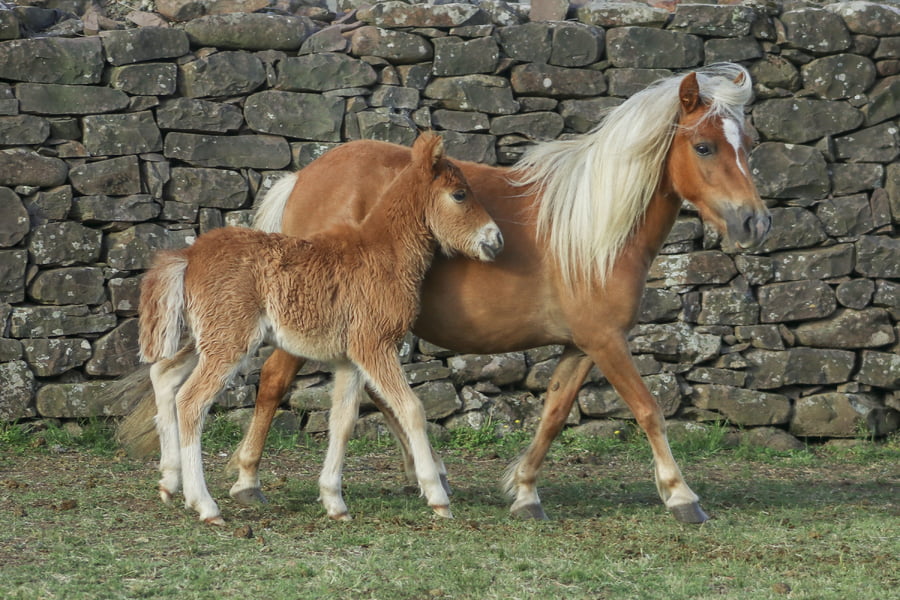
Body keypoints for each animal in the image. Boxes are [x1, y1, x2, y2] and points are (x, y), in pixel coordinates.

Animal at [135, 132, 503, 524]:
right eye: (460, 194)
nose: (496, 239)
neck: (384, 252)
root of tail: (188, 256)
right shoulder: (375, 344)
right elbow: (412, 408)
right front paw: (437, 496)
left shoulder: (350, 358)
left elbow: (343, 420)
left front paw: (334, 501)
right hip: (230, 341)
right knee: (191, 401)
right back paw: (205, 505)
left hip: (210, 337)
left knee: (164, 375)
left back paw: (169, 482)